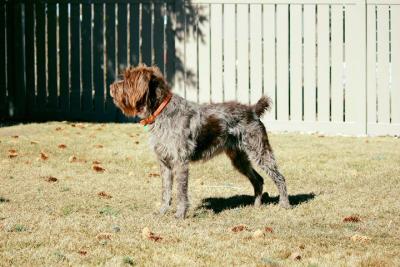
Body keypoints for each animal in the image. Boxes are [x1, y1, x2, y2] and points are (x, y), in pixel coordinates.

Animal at [109, 65, 290, 220]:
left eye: (127, 79)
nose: (111, 87)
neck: (162, 111)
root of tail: (253, 110)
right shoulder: (164, 162)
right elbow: (166, 191)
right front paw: (162, 211)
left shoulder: (180, 161)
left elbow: (181, 192)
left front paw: (180, 215)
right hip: (239, 158)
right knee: (258, 180)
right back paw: (257, 205)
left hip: (260, 151)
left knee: (279, 177)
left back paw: (284, 204)